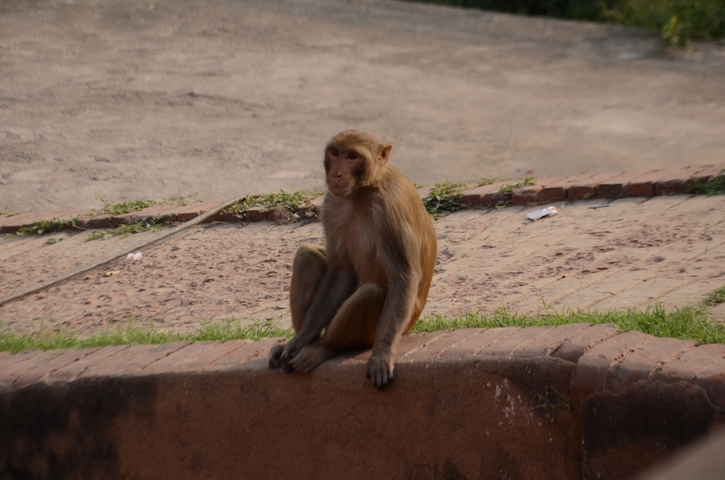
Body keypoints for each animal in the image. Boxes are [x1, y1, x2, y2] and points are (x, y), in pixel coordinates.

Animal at [268, 129, 437, 388]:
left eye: (352, 157)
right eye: (335, 153)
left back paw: (324, 347)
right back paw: (305, 342)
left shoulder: (389, 209)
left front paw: (382, 354)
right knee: (307, 256)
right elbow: (340, 272)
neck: (361, 193)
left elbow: (403, 276)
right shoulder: (331, 204)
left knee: (373, 292)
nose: (336, 173)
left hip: (383, 331)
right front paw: (300, 340)